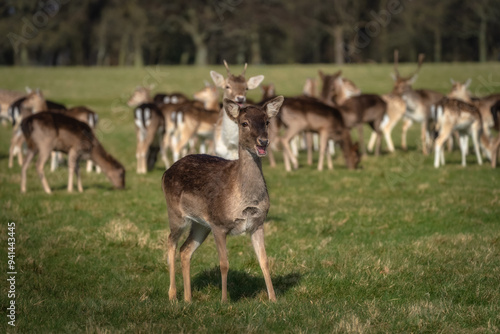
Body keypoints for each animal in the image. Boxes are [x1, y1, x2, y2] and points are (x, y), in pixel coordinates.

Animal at [162, 95, 284, 302]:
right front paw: (224, 300)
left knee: (185, 250)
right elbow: (224, 263)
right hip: (176, 215)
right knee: (171, 242)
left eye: (267, 121)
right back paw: (172, 296)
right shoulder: (219, 224)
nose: (263, 141)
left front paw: (273, 299)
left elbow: (264, 261)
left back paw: (188, 299)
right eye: (244, 123)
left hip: (201, 224)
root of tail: (165, 173)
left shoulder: (257, 223)